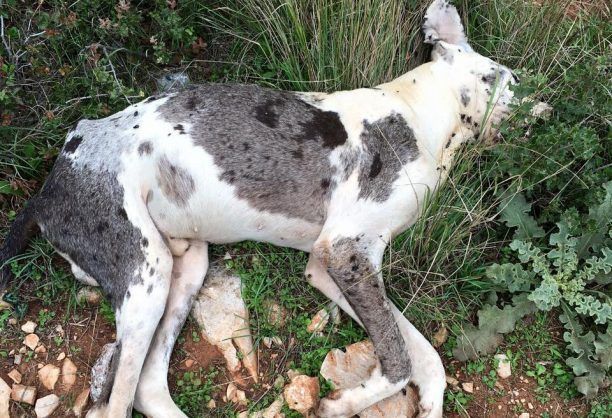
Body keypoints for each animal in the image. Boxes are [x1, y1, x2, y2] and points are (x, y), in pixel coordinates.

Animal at [0, 1, 520, 416]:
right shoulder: (345, 250)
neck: (417, 115)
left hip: (185, 266)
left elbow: (425, 356)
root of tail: (46, 188)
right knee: (113, 405)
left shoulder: (329, 264)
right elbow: (397, 360)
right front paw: (343, 403)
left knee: (147, 387)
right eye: (506, 78)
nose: (538, 109)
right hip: (146, 273)